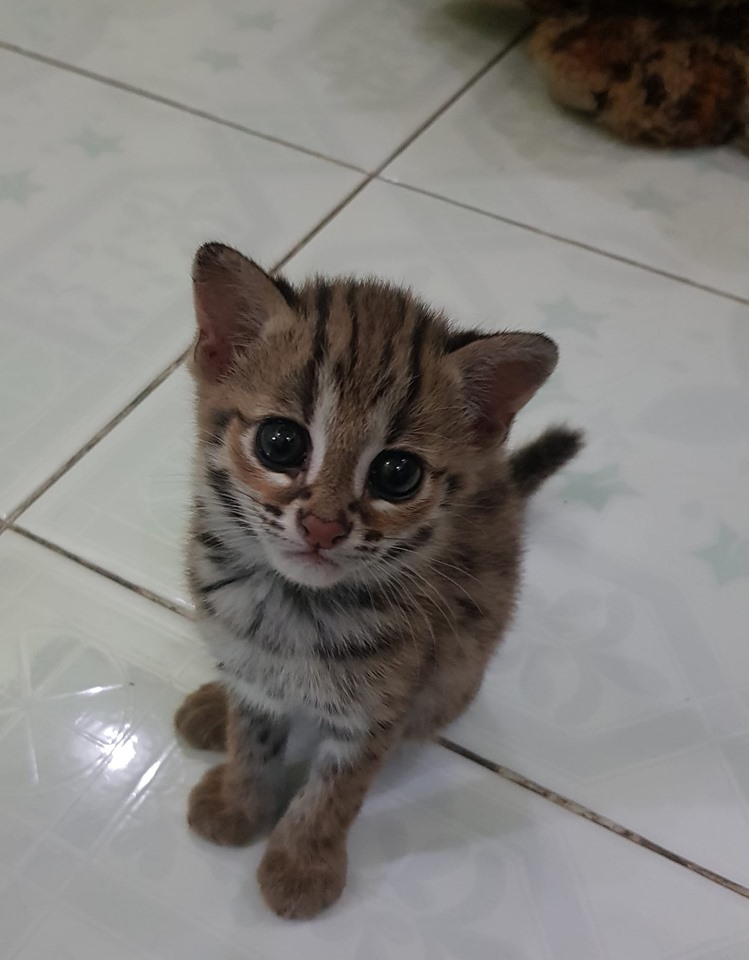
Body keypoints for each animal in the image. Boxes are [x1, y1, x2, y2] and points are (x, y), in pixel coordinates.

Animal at [177, 244, 584, 920]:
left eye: (397, 474)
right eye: (280, 442)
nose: (322, 526)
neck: (294, 606)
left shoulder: (374, 712)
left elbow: (333, 794)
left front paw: (299, 865)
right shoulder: (252, 668)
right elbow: (251, 739)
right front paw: (239, 801)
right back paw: (212, 704)